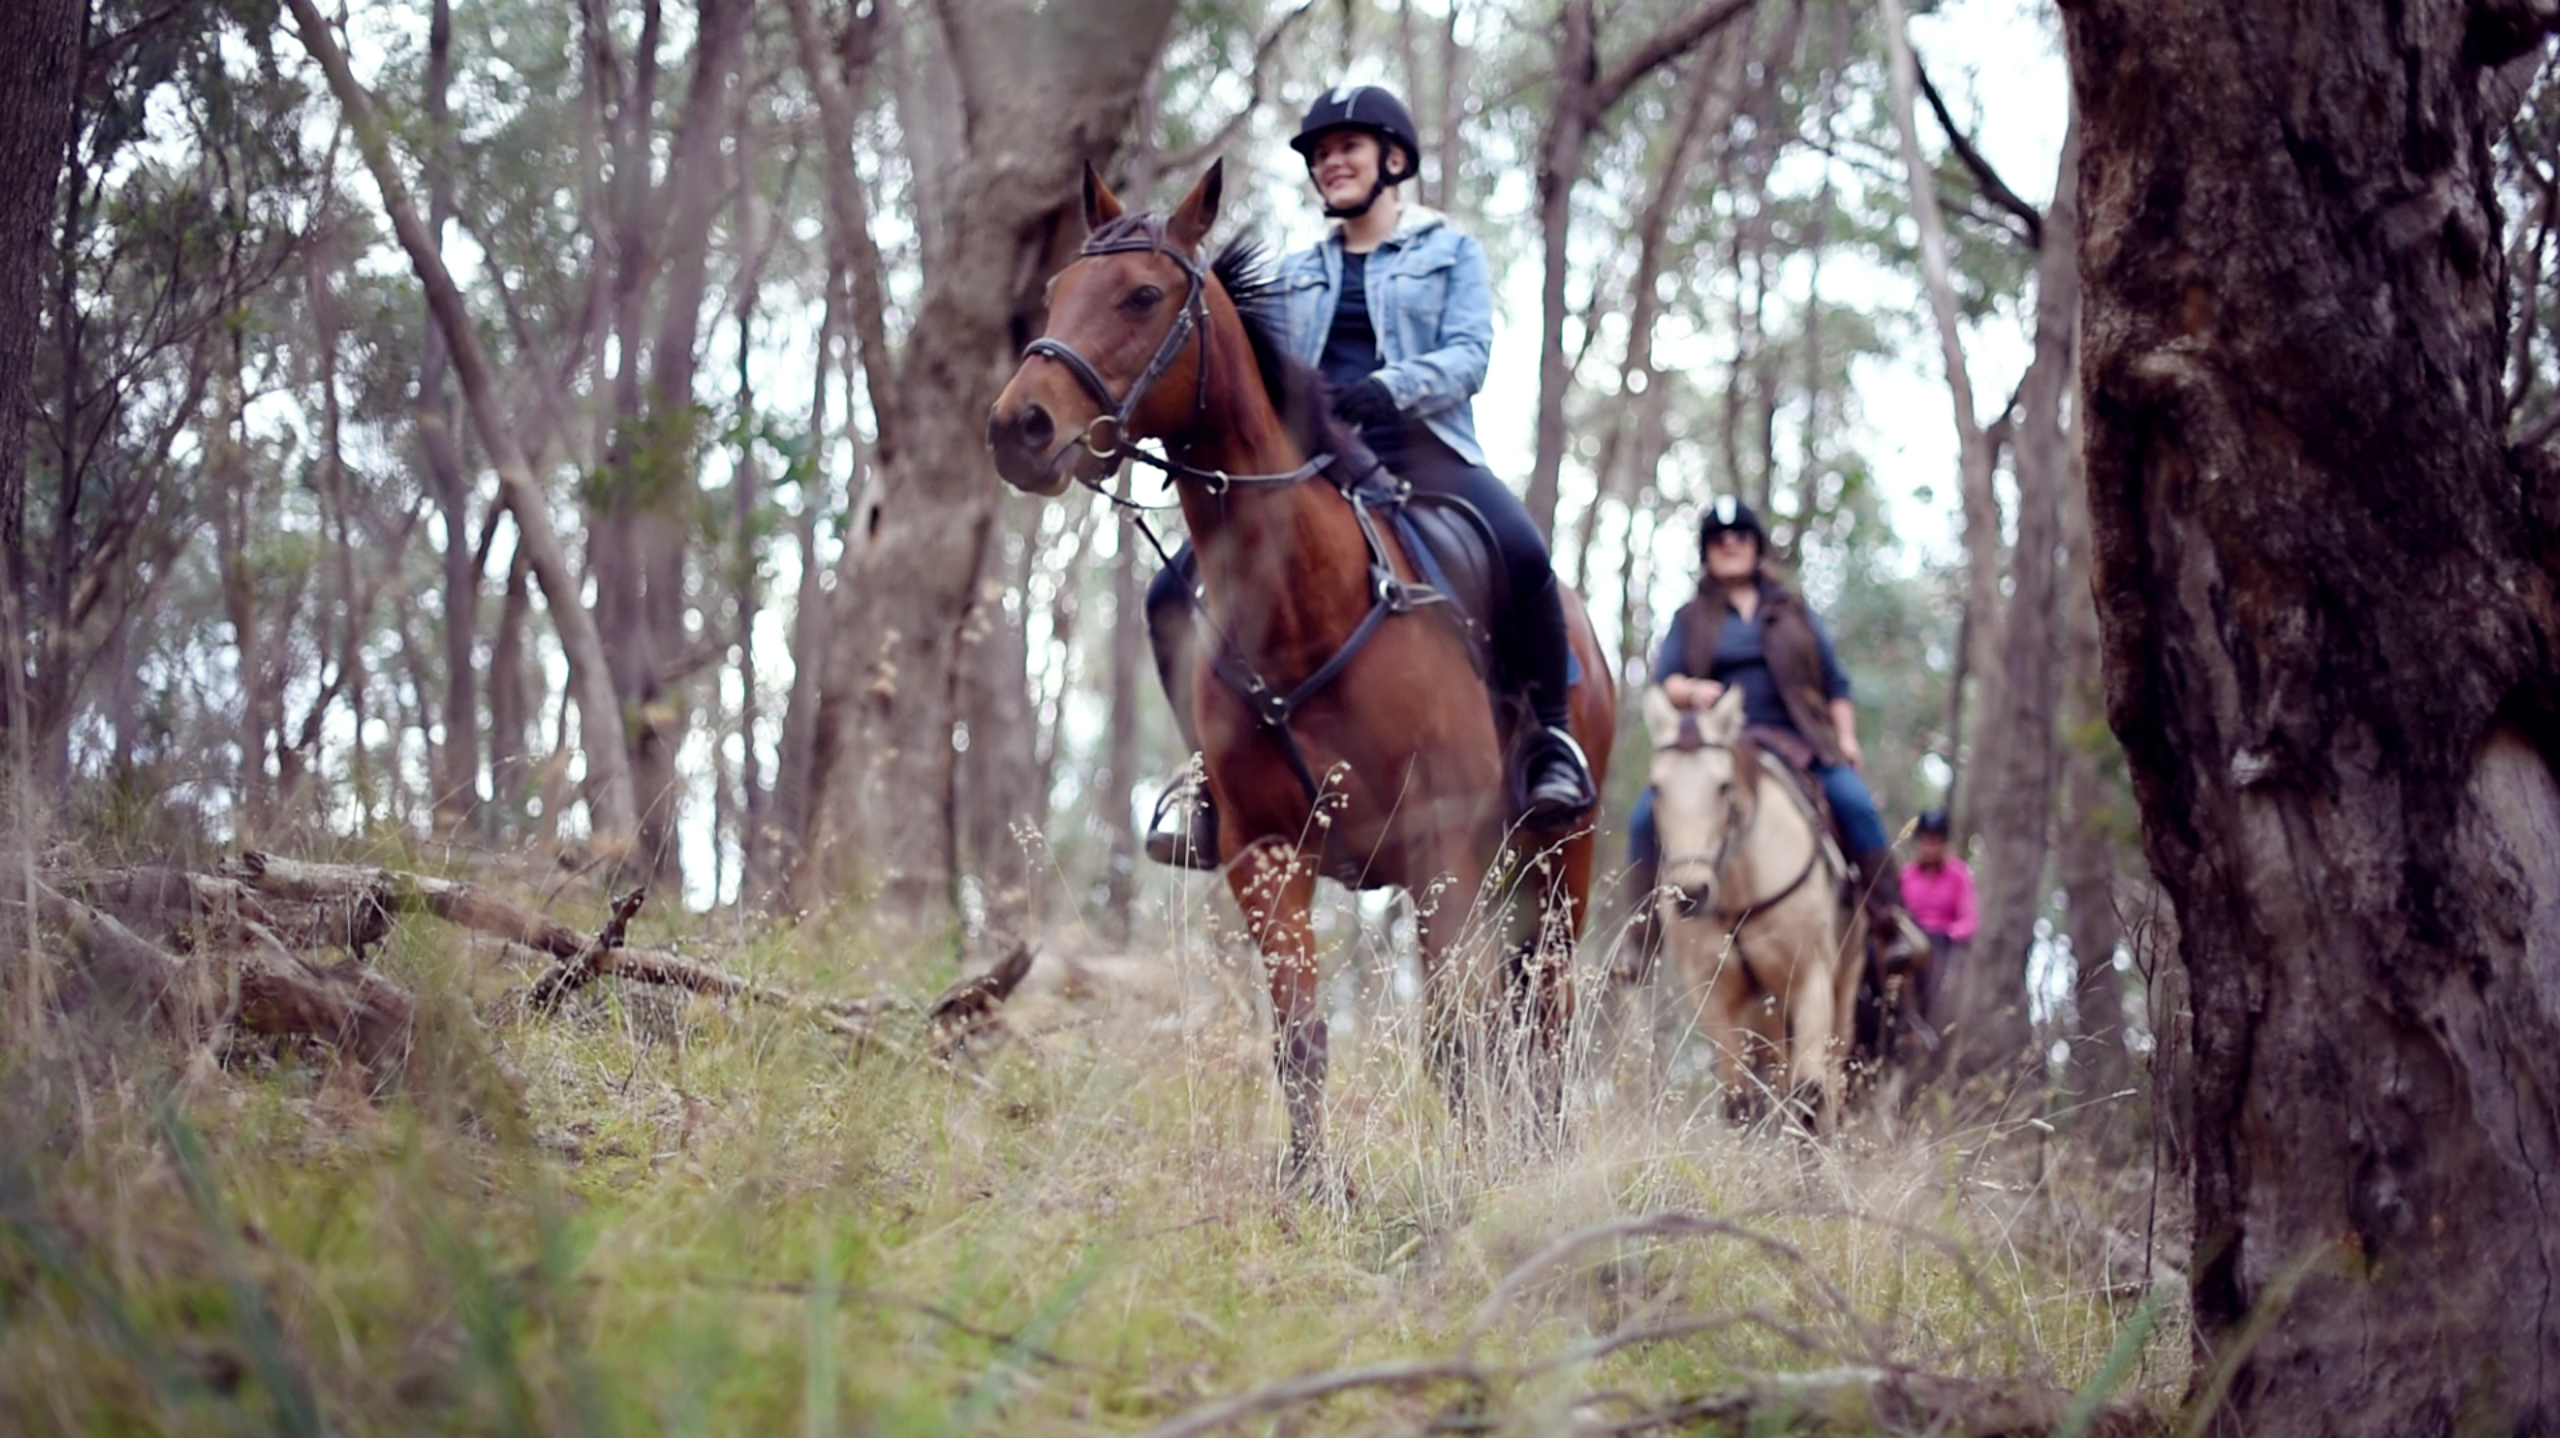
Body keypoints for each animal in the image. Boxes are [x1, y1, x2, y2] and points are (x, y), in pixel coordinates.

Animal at [986, 161, 1616, 1180]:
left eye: (1143, 295)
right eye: (1053, 292)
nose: (1019, 427)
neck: (1305, 607)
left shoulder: (1441, 852)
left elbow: (1456, 1037)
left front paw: (1470, 1181)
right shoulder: (1267, 855)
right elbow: (1302, 1039)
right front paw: (1314, 1187)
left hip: (1563, 858)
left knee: (1546, 1018)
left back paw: (1543, 1150)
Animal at [1641, 684, 1860, 1131]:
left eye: (1724, 786)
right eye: (1656, 789)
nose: (1692, 892)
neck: (1739, 892)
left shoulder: (1811, 978)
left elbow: (1808, 1092)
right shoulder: (1714, 994)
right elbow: (1741, 1101)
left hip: (1843, 989)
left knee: (1828, 1086)